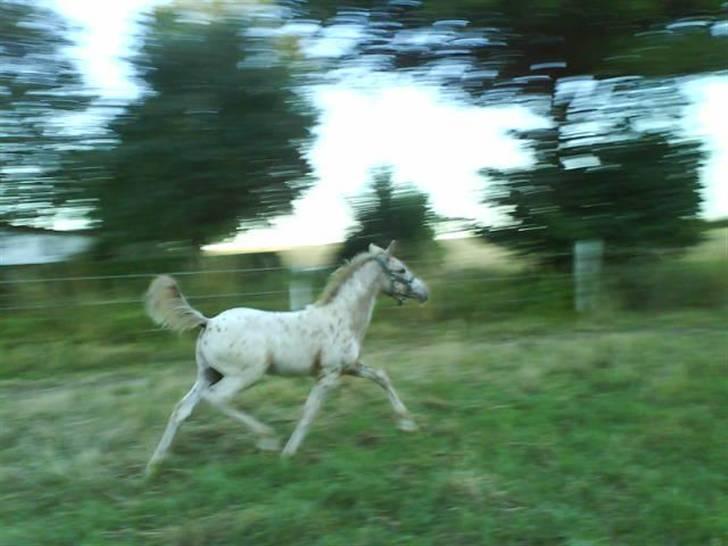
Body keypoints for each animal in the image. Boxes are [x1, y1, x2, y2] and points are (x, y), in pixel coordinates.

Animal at [145, 240, 430, 474]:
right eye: (401, 270)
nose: (424, 292)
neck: (342, 317)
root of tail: (208, 322)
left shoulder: (350, 366)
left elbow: (381, 377)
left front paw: (407, 424)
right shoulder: (329, 375)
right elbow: (309, 412)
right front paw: (288, 454)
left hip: (208, 374)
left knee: (181, 409)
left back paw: (154, 465)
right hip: (245, 374)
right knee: (217, 398)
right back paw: (267, 439)